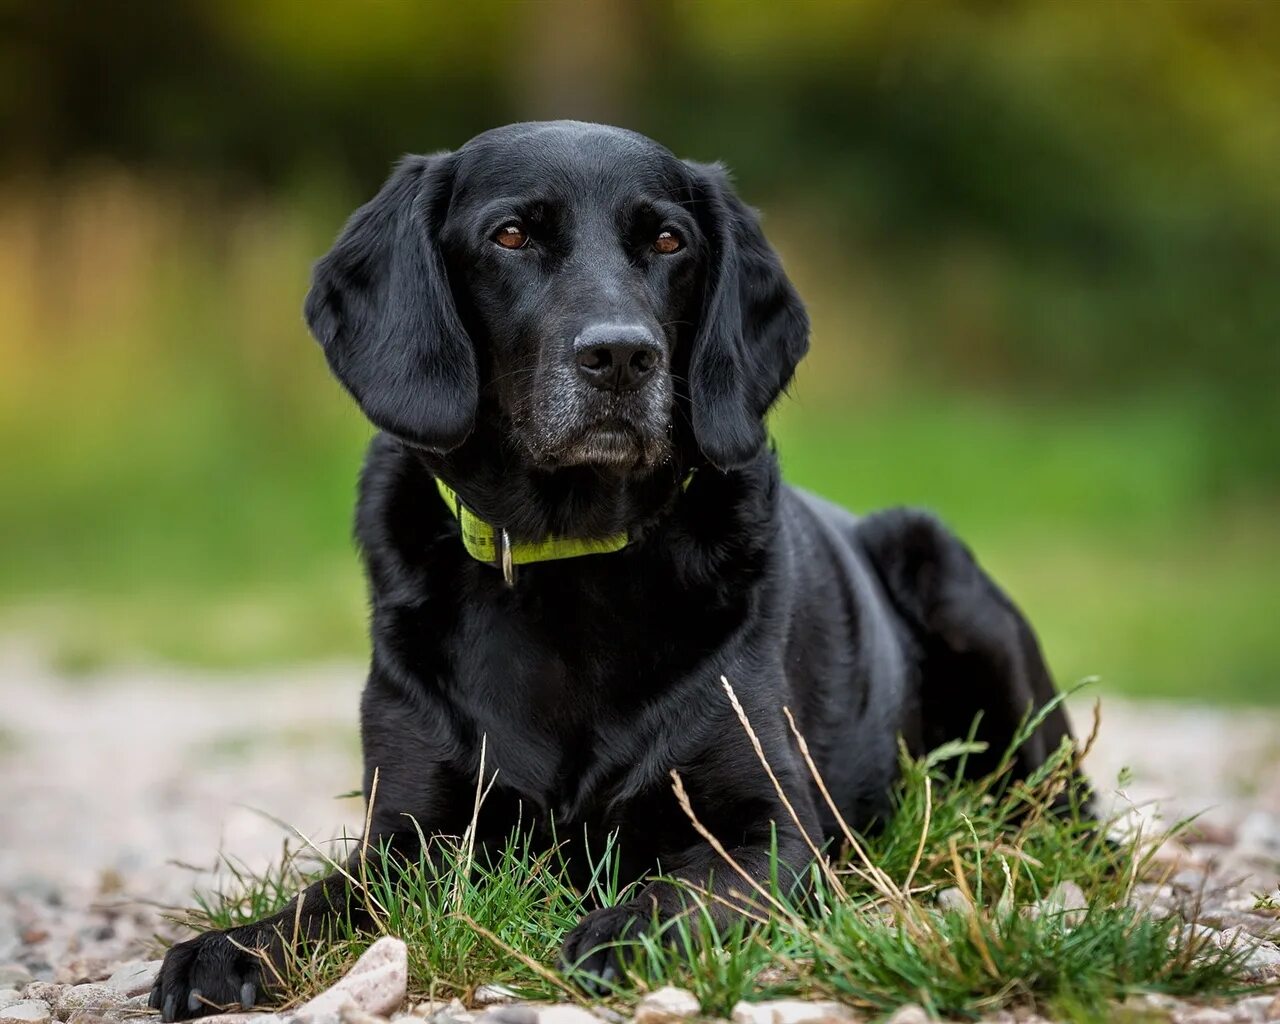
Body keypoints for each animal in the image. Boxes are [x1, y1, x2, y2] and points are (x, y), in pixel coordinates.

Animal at [147, 122, 1080, 1013]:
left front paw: (624, 931)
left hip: (953, 587)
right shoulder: (411, 833)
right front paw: (230, 947)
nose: (623, 356)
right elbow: (328, 898)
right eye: (512, 235)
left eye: (668, 241)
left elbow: (686, 889)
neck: (568, 555)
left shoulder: (771, 828)